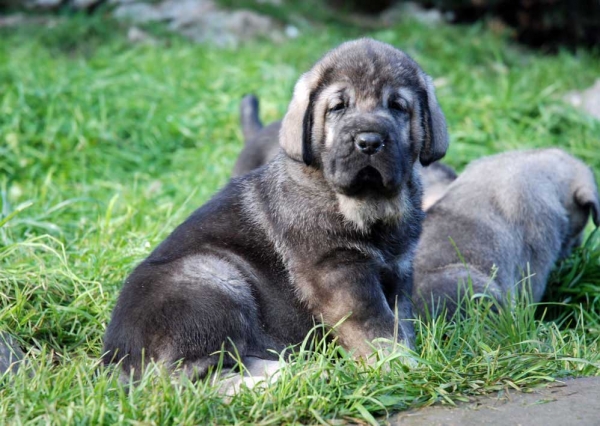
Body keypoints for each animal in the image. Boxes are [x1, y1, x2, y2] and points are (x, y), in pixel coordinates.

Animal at [103, 39, 448, 380]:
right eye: (338, 107)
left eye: (397, 106)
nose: (370, 141)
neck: (362, 202)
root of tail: (117, 361)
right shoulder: (339, 269)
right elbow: (374, 324)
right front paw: (399, 365)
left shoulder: (399, 270)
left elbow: (400, 320)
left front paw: (408, 356)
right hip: (212, 276)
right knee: (196, 374)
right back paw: (295, 374)